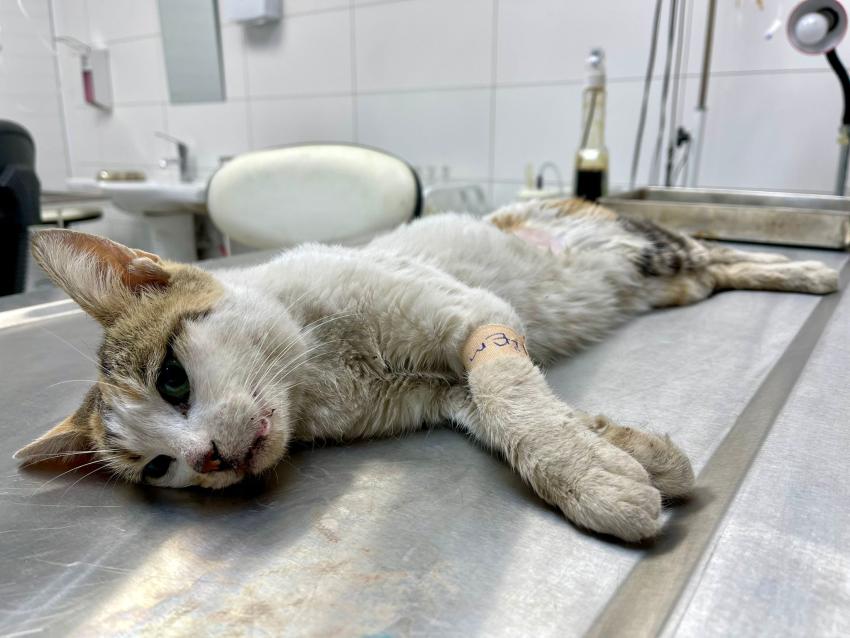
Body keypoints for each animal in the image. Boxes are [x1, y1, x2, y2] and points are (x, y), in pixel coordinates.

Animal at [14, 198, 839, 542]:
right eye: (159, 469)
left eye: (173, 380)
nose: (209, 459)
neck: (320, 373)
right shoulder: (442, 392)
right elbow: (517, 410)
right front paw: (636, 457)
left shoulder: (476, 316)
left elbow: (511, 396)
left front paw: (594, 480)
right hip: (672, 281)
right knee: (714, 271)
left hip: (656, 248)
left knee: (720, 249)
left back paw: (809, 269)